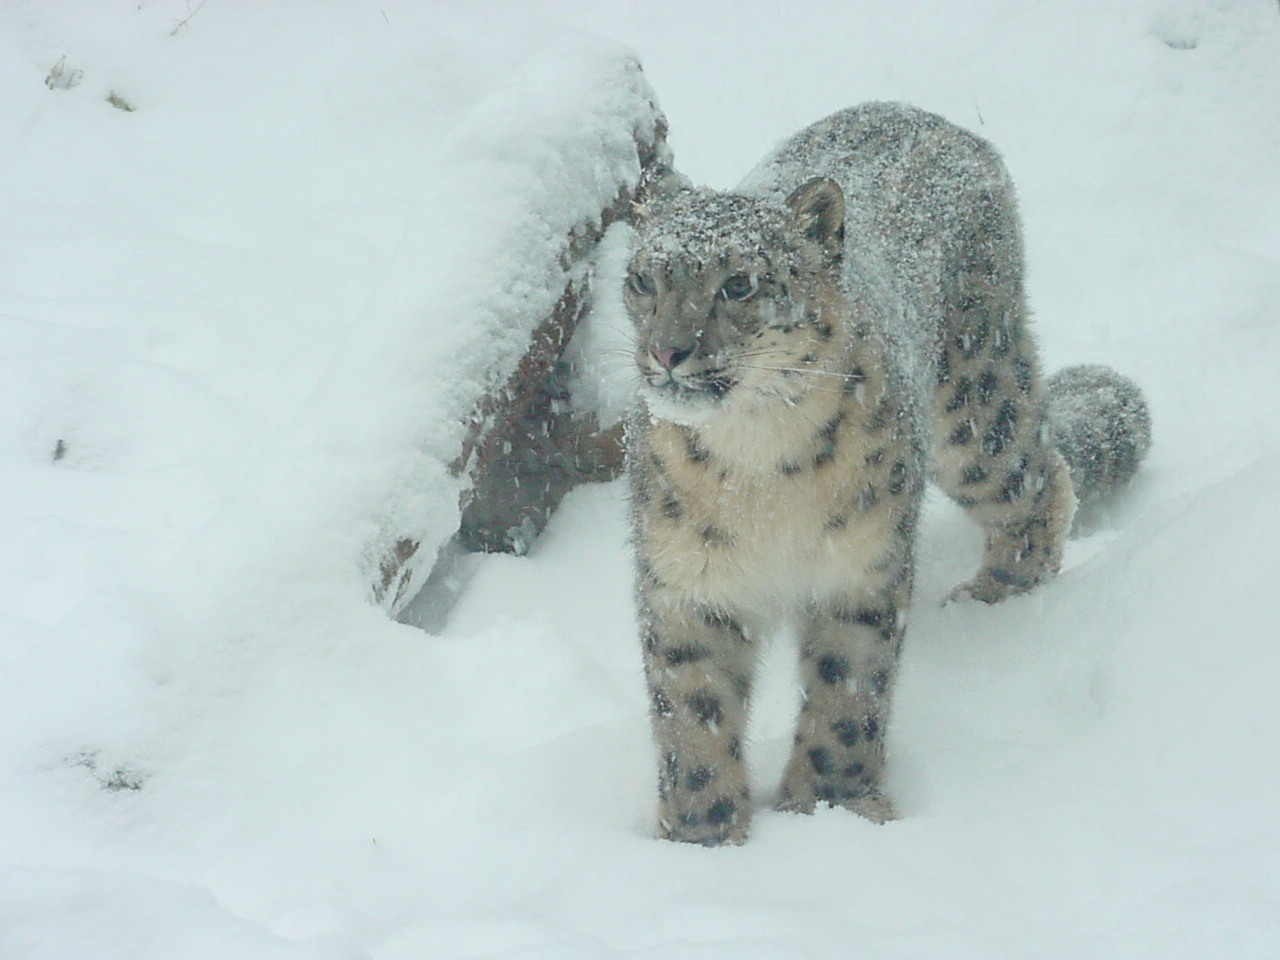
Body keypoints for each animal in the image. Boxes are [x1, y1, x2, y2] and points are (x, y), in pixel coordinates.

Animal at [622, 102, 1151, 846]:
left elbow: (846, 690)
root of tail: (923, 114)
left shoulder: (860, 563)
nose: (667, 351)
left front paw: (833, 807)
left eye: (739, 283)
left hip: (976, 412)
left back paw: (994, 597)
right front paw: (704, 836)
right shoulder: (687, 580)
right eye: (644, 278)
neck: (755, 460)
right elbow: (694, 716)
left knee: (1043, 475)